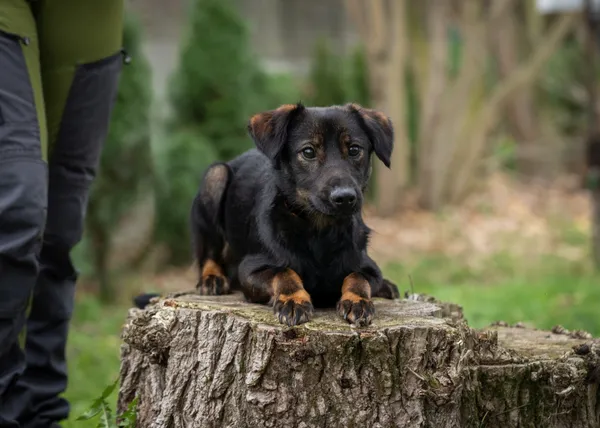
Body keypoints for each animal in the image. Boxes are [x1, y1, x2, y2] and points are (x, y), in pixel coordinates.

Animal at [188, 102, 398, 326]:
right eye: (308, 151)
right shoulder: (250, 269)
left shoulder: (369, 267)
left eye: (354, 150)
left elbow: (357, 277)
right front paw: (293, 300)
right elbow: (283, 271)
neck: (320, 231)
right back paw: (212, 279)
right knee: (208, 255)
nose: (345, 197)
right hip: (215, 177)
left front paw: (358, 300)